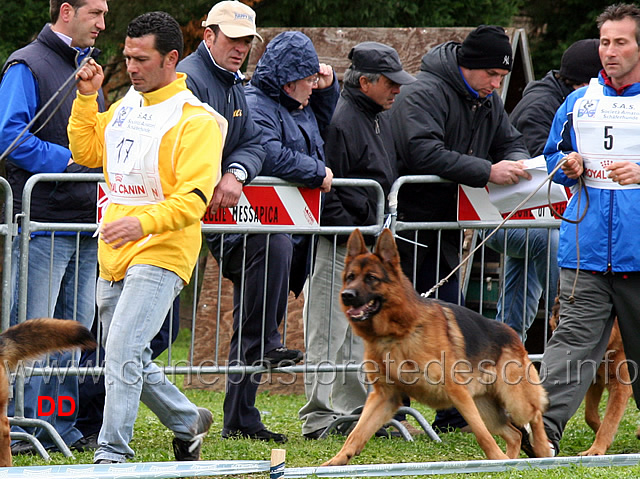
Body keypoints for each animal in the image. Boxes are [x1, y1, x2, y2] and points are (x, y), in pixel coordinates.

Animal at [322, 229, 552, 464]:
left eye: (371, 278)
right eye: (350, 277)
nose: (346, 295)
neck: (399, 333)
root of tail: (512, 333)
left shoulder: (457, 392)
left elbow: (482, 435)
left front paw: (496, 456)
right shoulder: (384, 397)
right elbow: (356, 434)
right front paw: (336, 461)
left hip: (515, 401)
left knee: (535, 414)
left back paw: (543, 449)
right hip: (486, 409)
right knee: (514, 434)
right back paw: (510, 460)